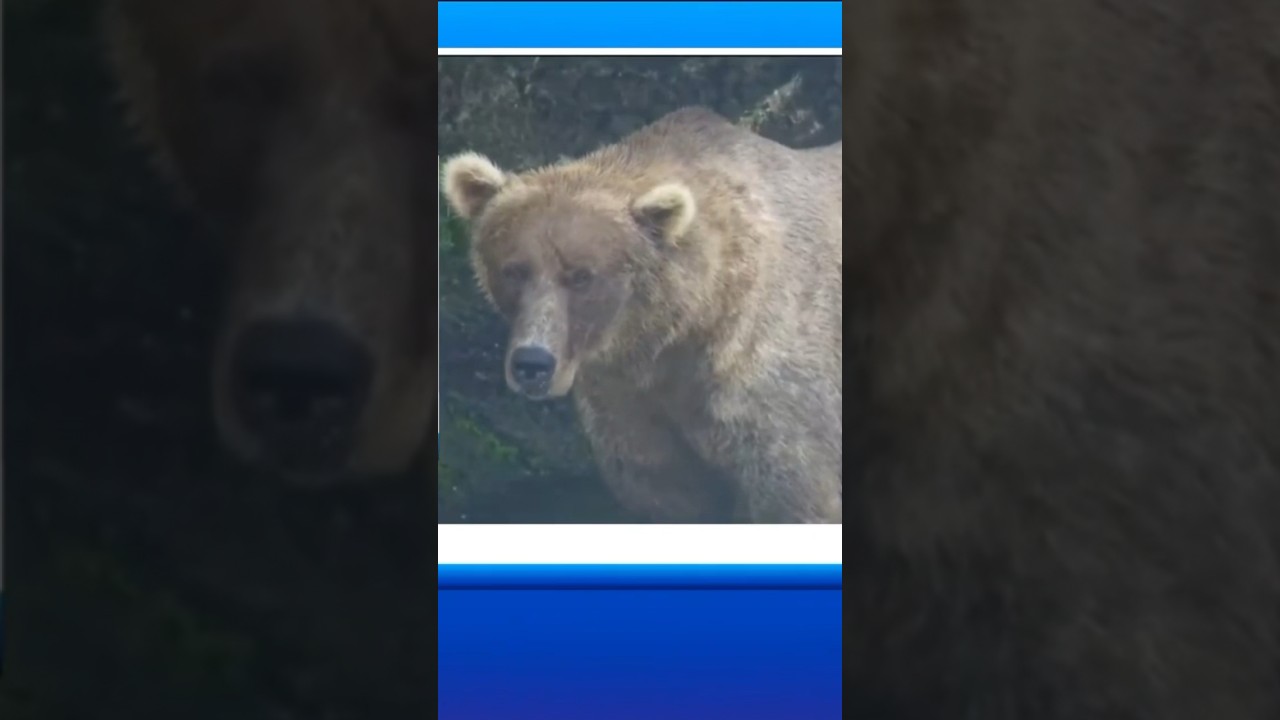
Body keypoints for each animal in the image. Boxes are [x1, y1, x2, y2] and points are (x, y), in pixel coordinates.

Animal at [441, 107, 842, 524]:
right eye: (514, 270)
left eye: (582, 275)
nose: (532, 364)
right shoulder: (628, 402)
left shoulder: (766, 379)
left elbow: (795, 488)